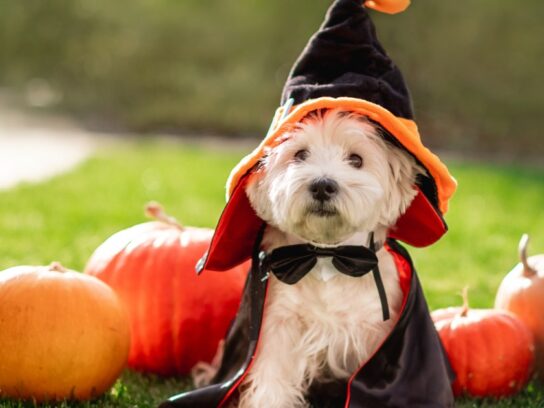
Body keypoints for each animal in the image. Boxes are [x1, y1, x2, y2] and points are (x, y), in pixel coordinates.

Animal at [193, 108, 422, 408]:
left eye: (356, 160)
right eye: (300, 154)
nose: (323, 186)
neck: (326, 254)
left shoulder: (375, 333)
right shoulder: (278, 326)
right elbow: (271, 382)